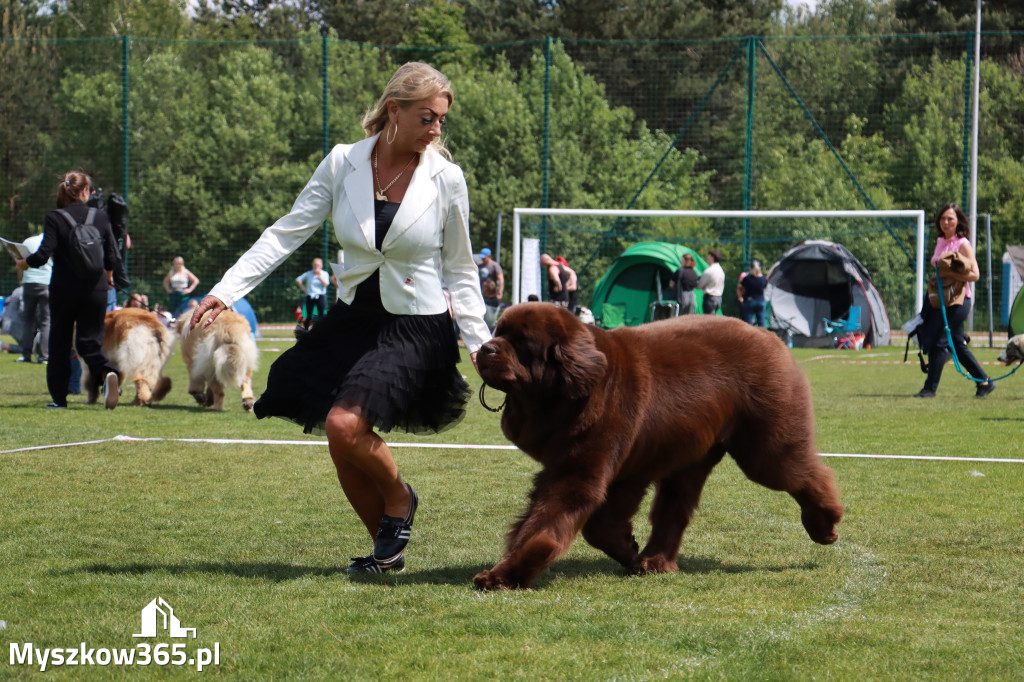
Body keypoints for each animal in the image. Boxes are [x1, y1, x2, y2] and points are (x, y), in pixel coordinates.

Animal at [471, 303, 839, 589]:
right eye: (498, 331)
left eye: (521, 343)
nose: (484, 349)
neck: (569, 391)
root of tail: (768, 334)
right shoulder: (625, 469)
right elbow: (588, 525)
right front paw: (629, 549)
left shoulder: (584, 467)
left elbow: (548, 523)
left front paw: (504, 576)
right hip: (693, 454)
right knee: (675, 507)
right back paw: (656, 561)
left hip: (762, 445)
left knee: (804, 472)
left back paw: (825, 524)